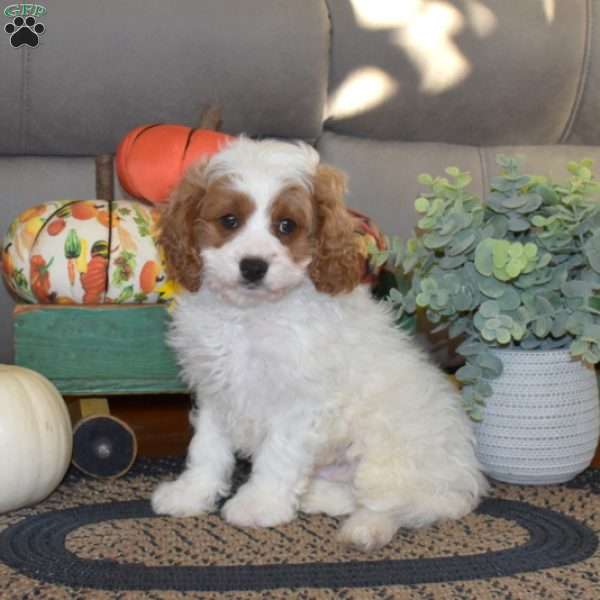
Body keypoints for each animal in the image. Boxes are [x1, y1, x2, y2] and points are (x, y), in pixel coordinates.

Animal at [151, 137, 488, 548]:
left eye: (286, 225)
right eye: (229, 221)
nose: (253, 266)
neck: (251, 316)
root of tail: (462, 479)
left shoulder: (299, 402)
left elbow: (277, 456)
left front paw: (259, 505)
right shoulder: (216, 391)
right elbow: (207, 448)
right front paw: (191, 493)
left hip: (388, 451)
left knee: (396, 502)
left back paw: (366, 529)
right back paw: (318, 496)